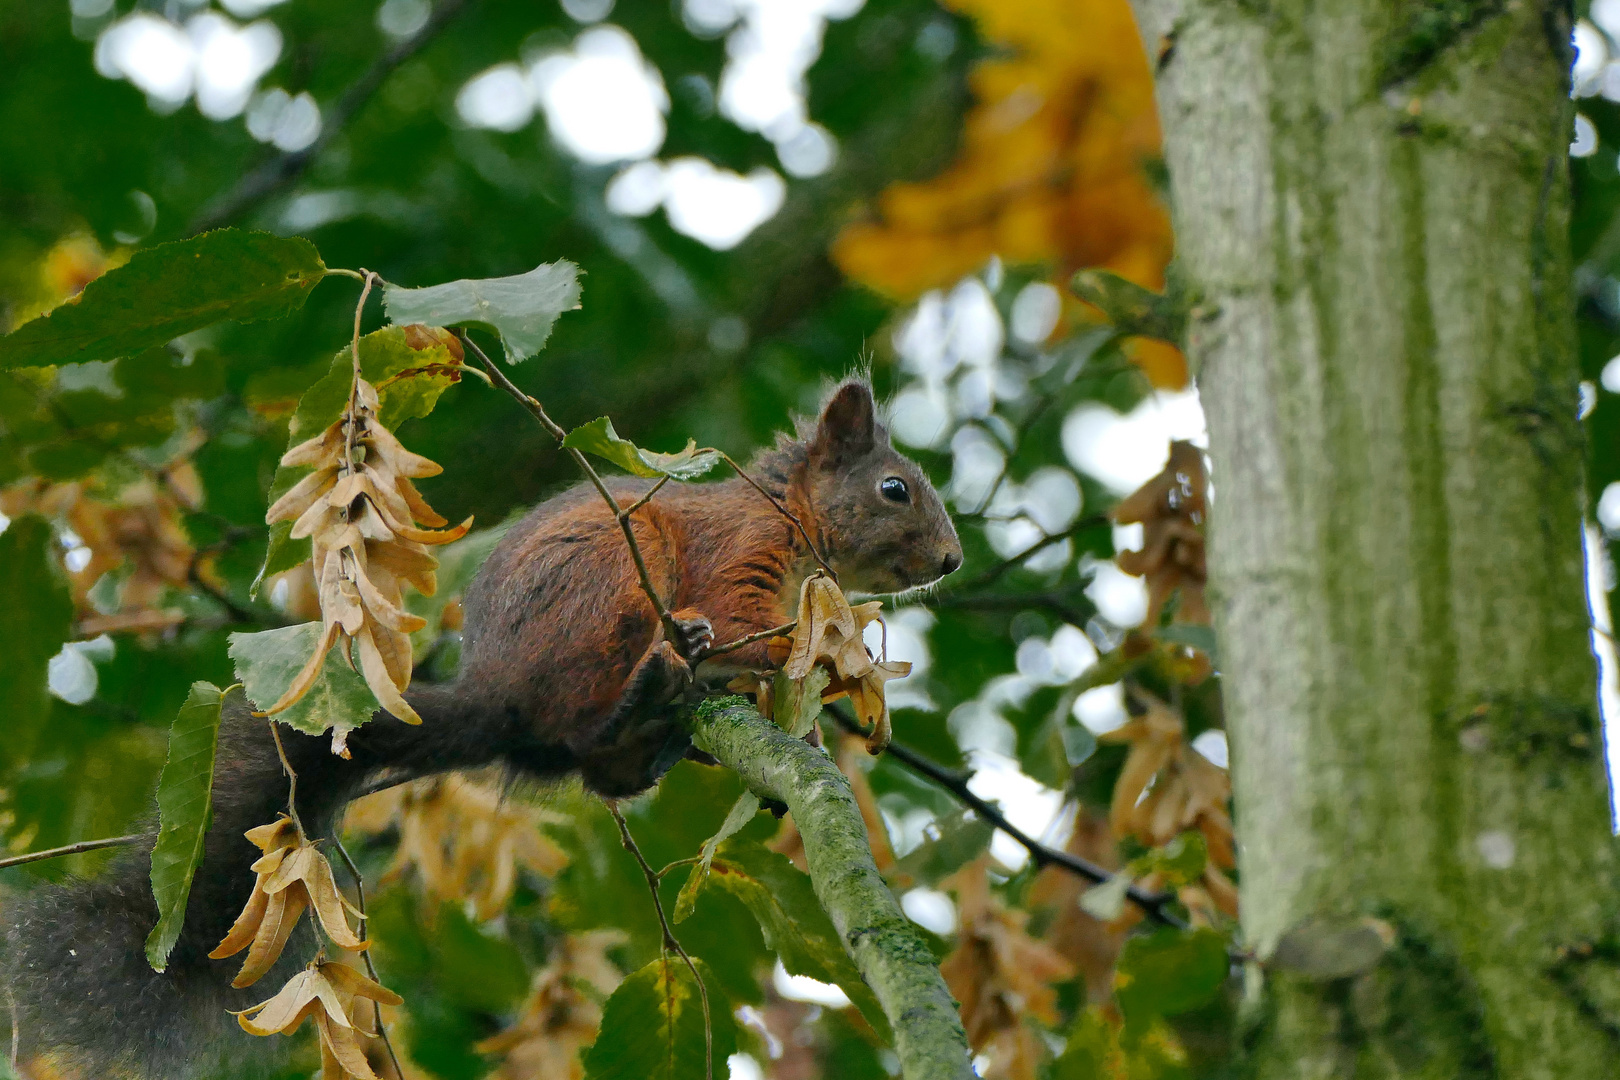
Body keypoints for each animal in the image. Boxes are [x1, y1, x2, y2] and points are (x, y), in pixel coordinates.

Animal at [0, 375, 959, 1075]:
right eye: (894, 488)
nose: (951, 562)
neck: (794, 523)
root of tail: (499, 691)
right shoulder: (738, 555)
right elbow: (746, 621)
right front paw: (809, 668)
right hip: (615, 573)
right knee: (589, 711)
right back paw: (660, 676)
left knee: (592, 763)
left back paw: (652, 743)